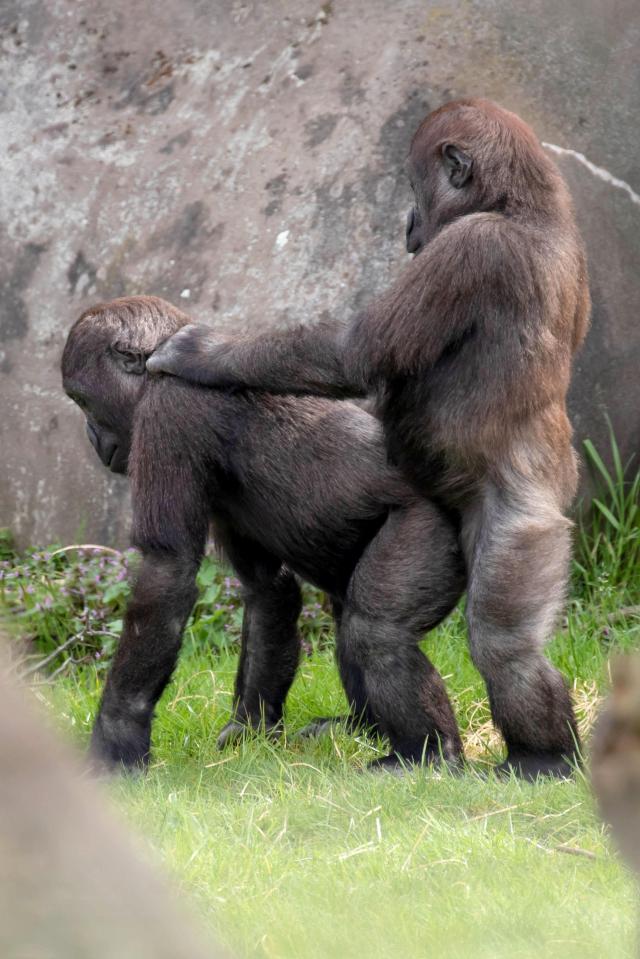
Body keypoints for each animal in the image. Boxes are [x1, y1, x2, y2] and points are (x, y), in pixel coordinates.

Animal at [61, 296, 464, 776]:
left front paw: (117, 737)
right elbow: (266, 591)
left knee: (378, 630)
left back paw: (429, 756)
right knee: (348, 616)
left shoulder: (168, 409)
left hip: (431, 524)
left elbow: (166, 569)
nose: (89, 436)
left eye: (82, 399)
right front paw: (249, 729)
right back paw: (361, 727)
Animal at [148, 101, 592, 784]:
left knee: (494, 641)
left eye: (414, 186)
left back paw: (534, 757)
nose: (408, 222)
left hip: (531, 525)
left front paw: (202, 352)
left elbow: (352, 350)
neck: (524, 204)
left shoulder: (470, 249)